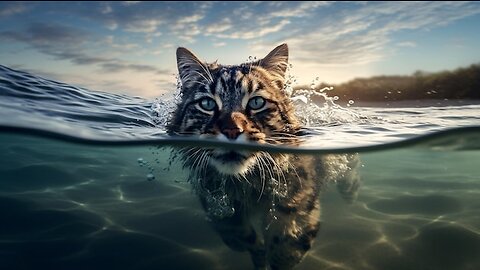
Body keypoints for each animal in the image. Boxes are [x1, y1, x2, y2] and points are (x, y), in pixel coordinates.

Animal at [167, 43, 358, 268]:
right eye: (207, 104)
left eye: (256, 102)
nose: (232, 130)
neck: (248, 184)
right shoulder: (214, 202)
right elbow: (239, 235)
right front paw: (259, 254)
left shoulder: (299, 197)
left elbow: (287, 231)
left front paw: (280, 255)